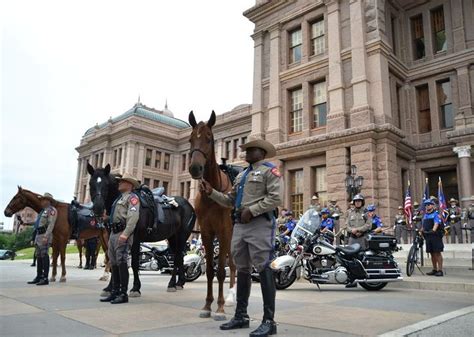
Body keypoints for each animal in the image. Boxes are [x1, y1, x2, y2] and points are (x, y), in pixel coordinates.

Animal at [86, 163, 195, 294]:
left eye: (106, 184)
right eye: (90, 183)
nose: (97, 208)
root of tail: (189, 205)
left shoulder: (136, 239)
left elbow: (134, 263)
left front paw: (135, 288)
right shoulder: (112, 237)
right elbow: (113, 260)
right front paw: (110, 287)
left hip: (181, 236)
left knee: (178, 257)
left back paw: (172, 284)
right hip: (172, 237)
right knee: (179, 258)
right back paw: (180, 282)